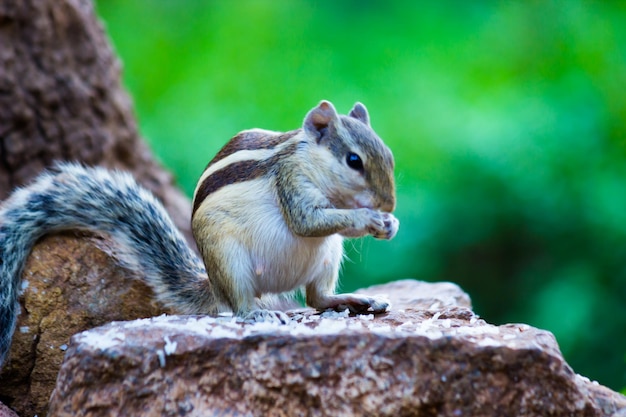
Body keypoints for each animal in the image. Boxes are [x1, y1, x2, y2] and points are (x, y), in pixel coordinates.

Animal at [0, 100, 398, 364]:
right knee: (240, 307)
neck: (308, 161)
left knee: (317, 298)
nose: (389, 203)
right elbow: (306, 221)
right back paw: (260, 315)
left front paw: (389, 223)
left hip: (327, 256)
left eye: (390, 156)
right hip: (229, 260)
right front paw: (370, 218)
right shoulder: (292, 184)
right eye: (354, 161)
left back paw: (354, 301)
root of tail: (214, 286)